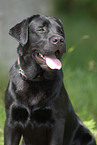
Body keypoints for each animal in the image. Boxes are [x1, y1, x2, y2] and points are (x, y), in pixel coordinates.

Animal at [3, 13, 96, 145]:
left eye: (61, 31)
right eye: (41, 29)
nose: (59, 40)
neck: (36, 80)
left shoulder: (57, 122)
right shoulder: (11, 121)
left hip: (86, 135)